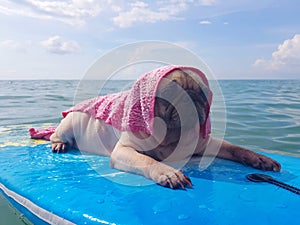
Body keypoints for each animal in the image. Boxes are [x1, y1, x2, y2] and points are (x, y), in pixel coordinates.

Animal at [50, 67, 280, 189]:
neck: (171, 135)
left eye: (203, 92)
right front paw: (168, 173)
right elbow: (146, 160)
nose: (191, 97)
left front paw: (260, 159)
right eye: (171, 92)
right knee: (56, 135)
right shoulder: (125, 151)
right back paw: (60, 144)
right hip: (68, 124)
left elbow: (236, 148)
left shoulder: (208, 144)